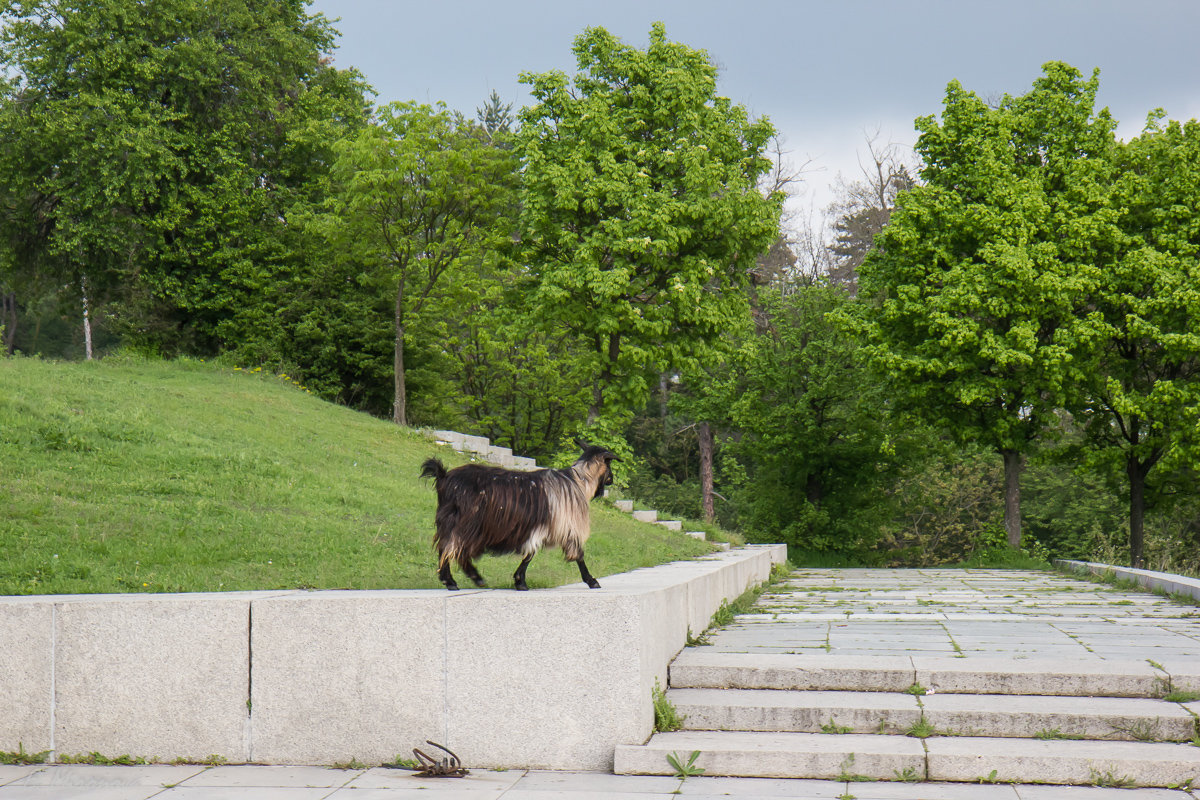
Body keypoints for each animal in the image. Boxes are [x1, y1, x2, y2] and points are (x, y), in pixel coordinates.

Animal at [420, 448, 619, 592]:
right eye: (610, 466)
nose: (612, 480)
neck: (578, 482)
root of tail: (444, 477)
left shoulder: (541, 528)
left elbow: (530, 553)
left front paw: (519, 581)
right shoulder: (565, 527)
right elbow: (576, 555)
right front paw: (592, 581)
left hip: (449, 521)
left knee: (445, 548)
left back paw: (450, 581)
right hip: (468, 523)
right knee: (456, 549)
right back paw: (474, 578)